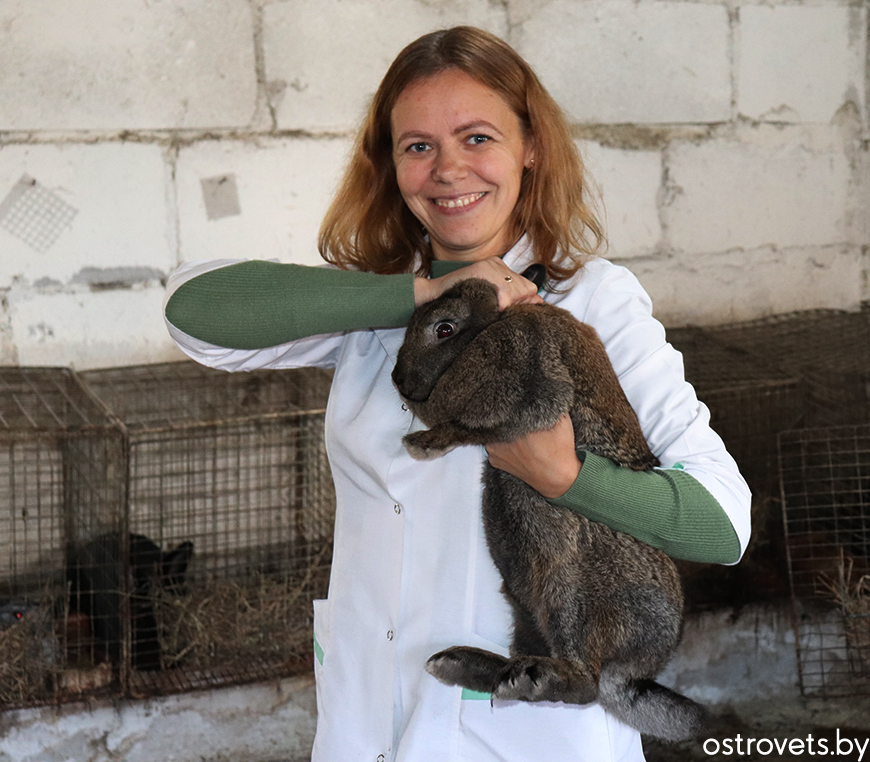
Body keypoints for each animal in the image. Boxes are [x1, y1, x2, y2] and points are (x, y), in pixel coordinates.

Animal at [396, 276, 708, 740]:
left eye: (444, 329)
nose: (400, 380)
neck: (492, 325)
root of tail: (630, 675)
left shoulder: (528, 384)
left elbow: (469, 427)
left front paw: (421, 444)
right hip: (523, 599)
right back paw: (465, 665)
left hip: (570, 594)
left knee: (584, 683)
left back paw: (525, 679)